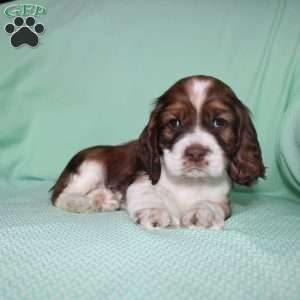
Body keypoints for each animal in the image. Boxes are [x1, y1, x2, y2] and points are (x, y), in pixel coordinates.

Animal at [51, 75, 264, 230]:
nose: (195, 152)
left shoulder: (222, 198)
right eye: (174, 122)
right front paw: (155, 213)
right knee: (60, 195)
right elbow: (149, 196)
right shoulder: (141, 182)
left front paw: (203, 214)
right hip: (90, 167)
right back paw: (82, 202)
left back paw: (105, 199)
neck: (189, 182)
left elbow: (209, 203)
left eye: (219, 122)